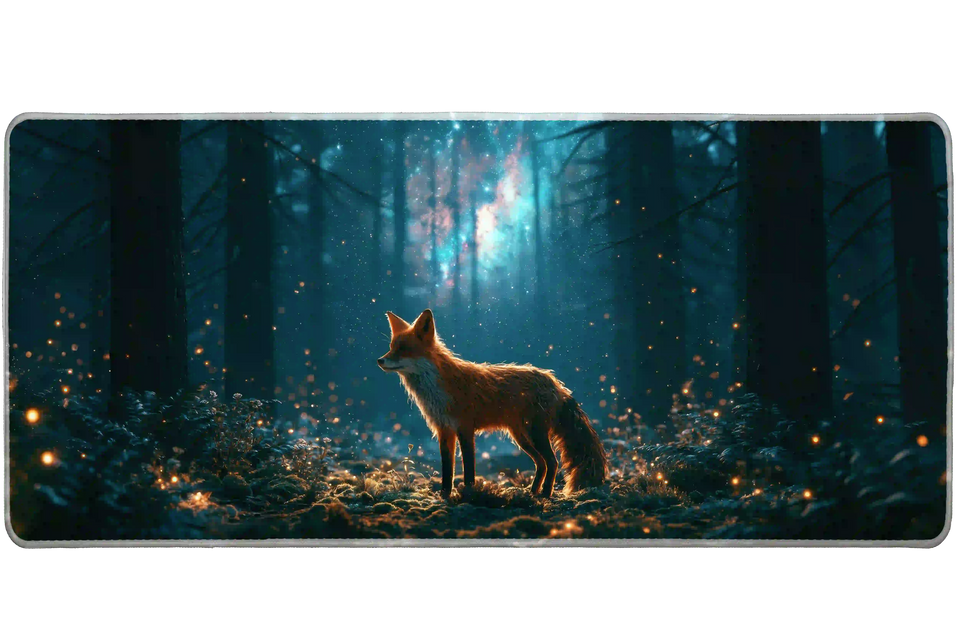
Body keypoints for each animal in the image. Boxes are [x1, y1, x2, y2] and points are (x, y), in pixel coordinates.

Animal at [378, 309, 607, 499]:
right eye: (391, 347)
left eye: (404, 349)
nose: (380, 361)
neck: (438, 389)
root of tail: (557, 384)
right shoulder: (444, 430)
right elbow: (447, 470)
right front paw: (444, 495)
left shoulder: (465, 428)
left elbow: (469, 469)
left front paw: (469, 493)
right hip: (521, 437)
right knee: (541, 464)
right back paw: (532, 492)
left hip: (536, 433)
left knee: (553, 462)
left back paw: (545, 494)